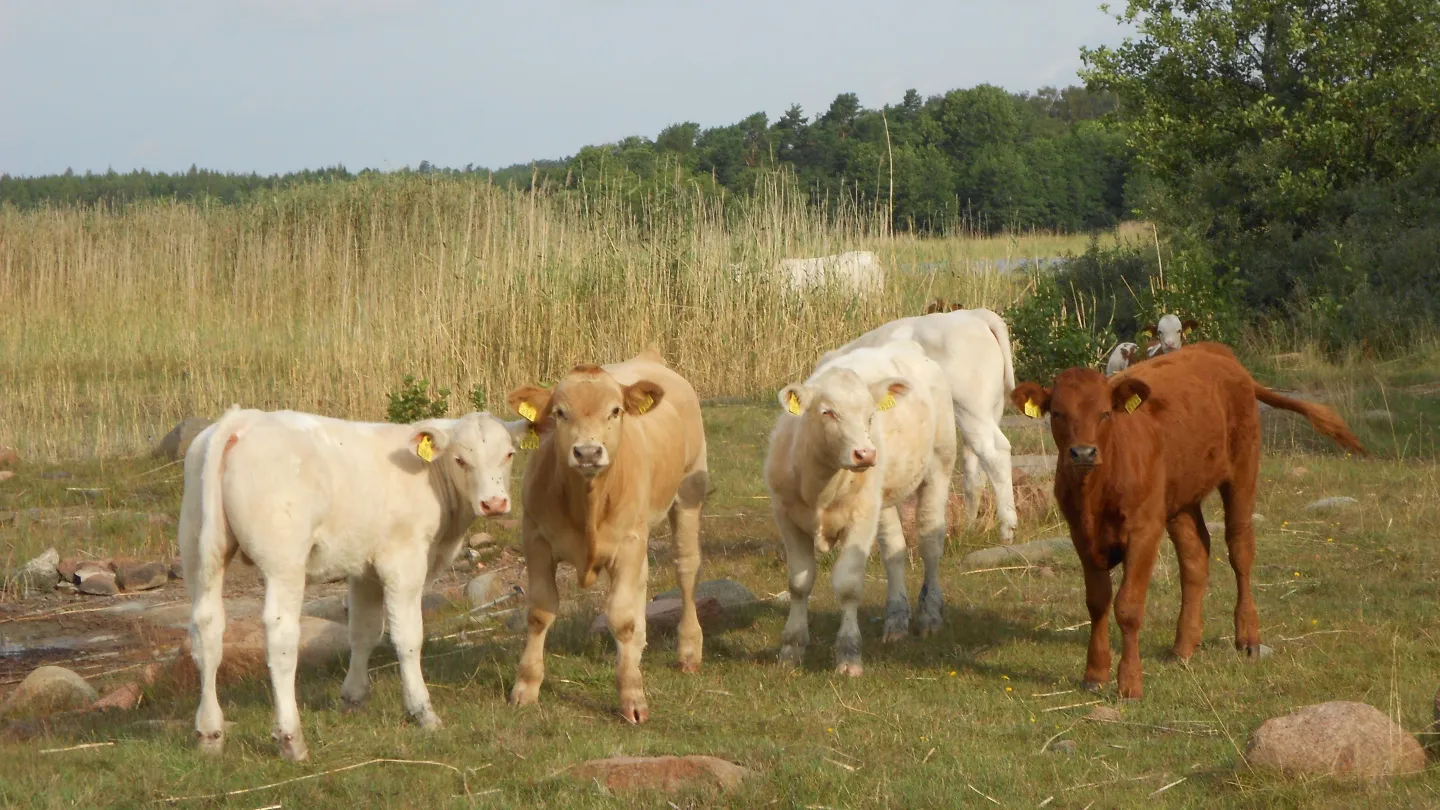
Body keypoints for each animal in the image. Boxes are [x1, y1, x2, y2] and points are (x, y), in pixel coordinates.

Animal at [179, 406, 527, 760]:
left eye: (509, 454)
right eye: (460, 459)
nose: (494, 503)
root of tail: (241, 419)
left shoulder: (365, 568)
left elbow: (364, 631)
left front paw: (353, 697)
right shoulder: (404, 561)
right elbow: (407, 637)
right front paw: (422, 711)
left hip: (199, 552)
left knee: (206, 630)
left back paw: (209, 733)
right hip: (284, 563)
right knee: (280, 638)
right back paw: (291, 738)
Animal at [506, 347, 708, 717]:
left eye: (615, 410)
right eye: (559, 413)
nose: (587, 452)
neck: (588, 503)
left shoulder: (628, 543)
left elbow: (621, 618)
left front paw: (632, 695)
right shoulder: (535, 538)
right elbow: (540, 613)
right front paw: (526, 686)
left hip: (689, 492)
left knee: (686, 569)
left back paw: (688, 651)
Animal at [766, 340, 956, 674]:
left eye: (870, 415)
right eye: (828, 412)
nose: (865, 453)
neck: (821, 487)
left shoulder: (861, 518)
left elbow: (848, 585)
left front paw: (849, 655)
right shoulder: (786, 516)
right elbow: (799, 583)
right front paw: (791, 650)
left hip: (938, 467)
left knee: (930, 544)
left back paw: (930, 615)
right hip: (883, 497)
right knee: (894, 551)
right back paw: (896, 621)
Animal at [817, 305, 1019, 539]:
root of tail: (974, 314)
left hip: (971, 408)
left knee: (995, 452)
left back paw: (1007, 528)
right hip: (989, 411)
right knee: (974, 466)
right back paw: (969, 528)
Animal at [1008, 340, 1365, 694]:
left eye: (1105, 413)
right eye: (1057, 414)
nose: (1083, 453)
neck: (1095, 492)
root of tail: (1216, 351)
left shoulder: (1144, 529)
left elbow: (1128, 606)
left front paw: (1130, 683)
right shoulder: (1081, 534)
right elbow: (1097, 602)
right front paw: (1094, 674)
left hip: (1243, 470)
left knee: (1240, 550)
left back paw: (1248, 637)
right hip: (1181, 500)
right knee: (1195, 557)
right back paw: (1184, 646)